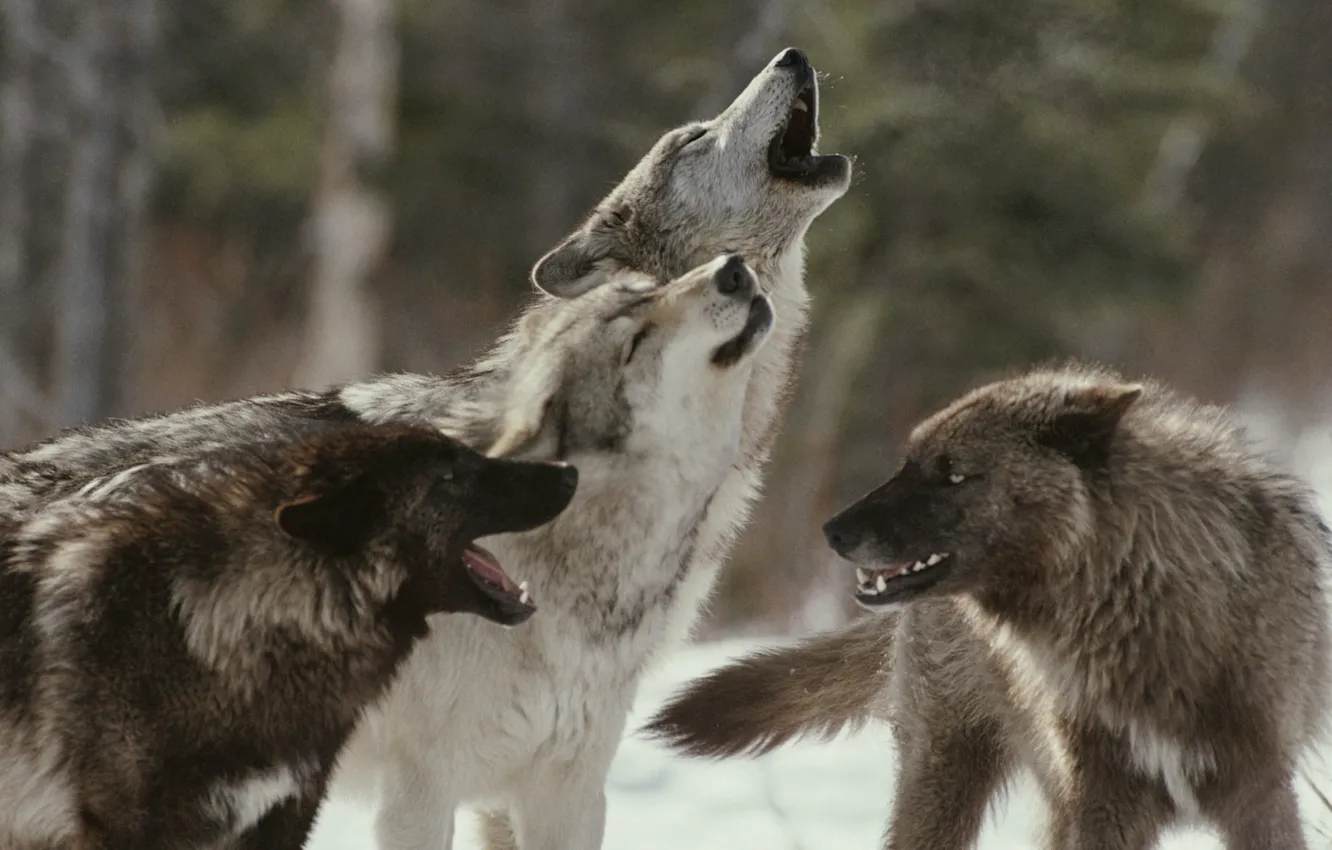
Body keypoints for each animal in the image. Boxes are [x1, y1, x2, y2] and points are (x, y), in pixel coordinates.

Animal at [648, 363, 1332, 850]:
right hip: (945, 779)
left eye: (954, 474)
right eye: (909, 463)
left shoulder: (1259, 794)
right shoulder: (1104, 802)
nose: (833, 531)